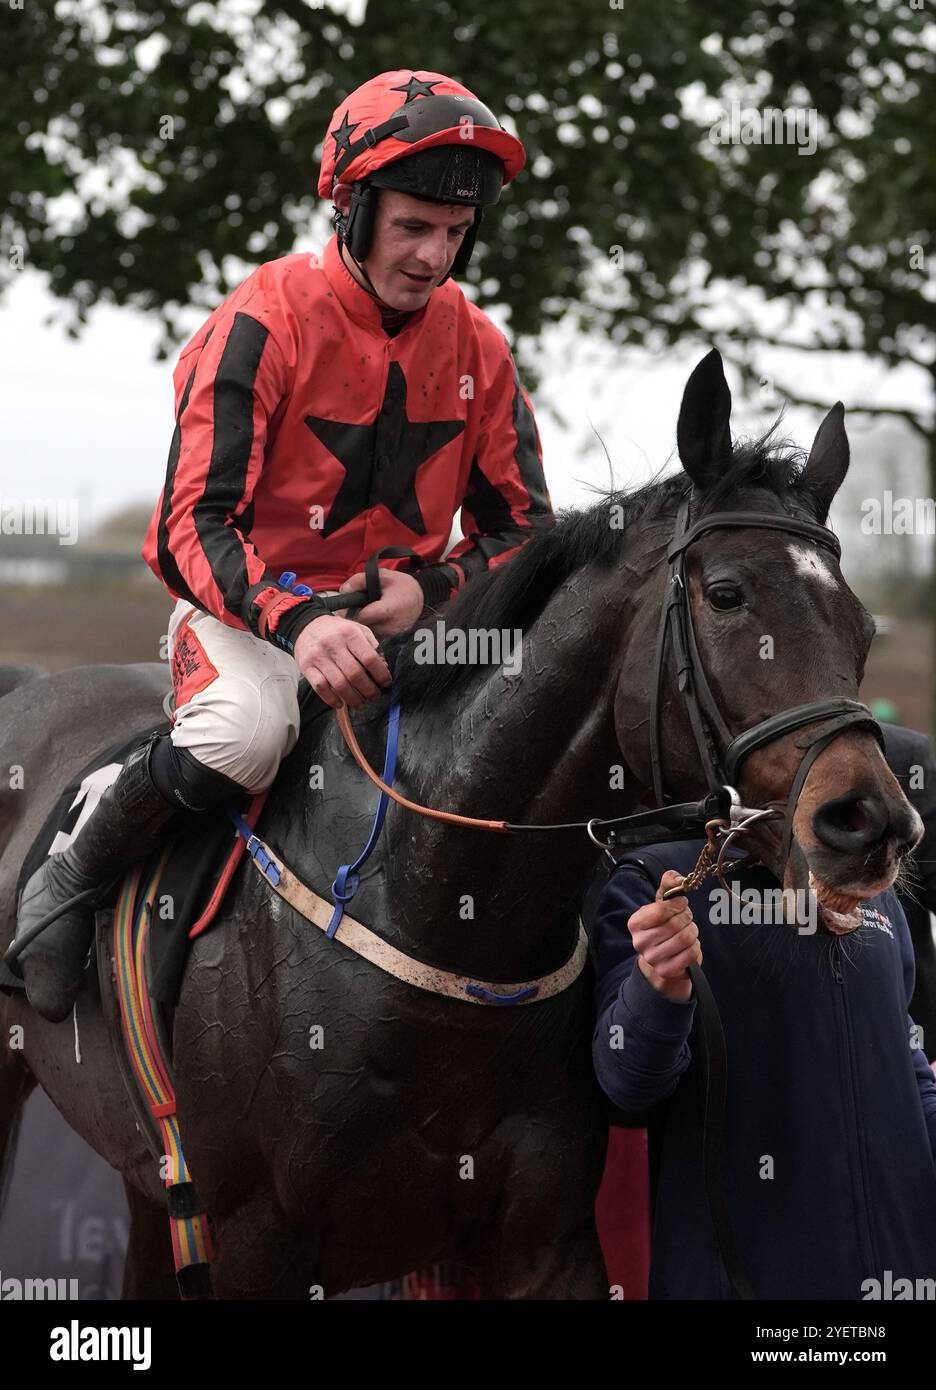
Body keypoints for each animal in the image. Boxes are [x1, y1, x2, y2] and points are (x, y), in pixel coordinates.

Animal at [0, 353, 917, 1295]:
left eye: (862, 625)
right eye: (727, 595)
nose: (869, 822)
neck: (440, 908)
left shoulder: (542, 1241)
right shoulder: (257, 1241)